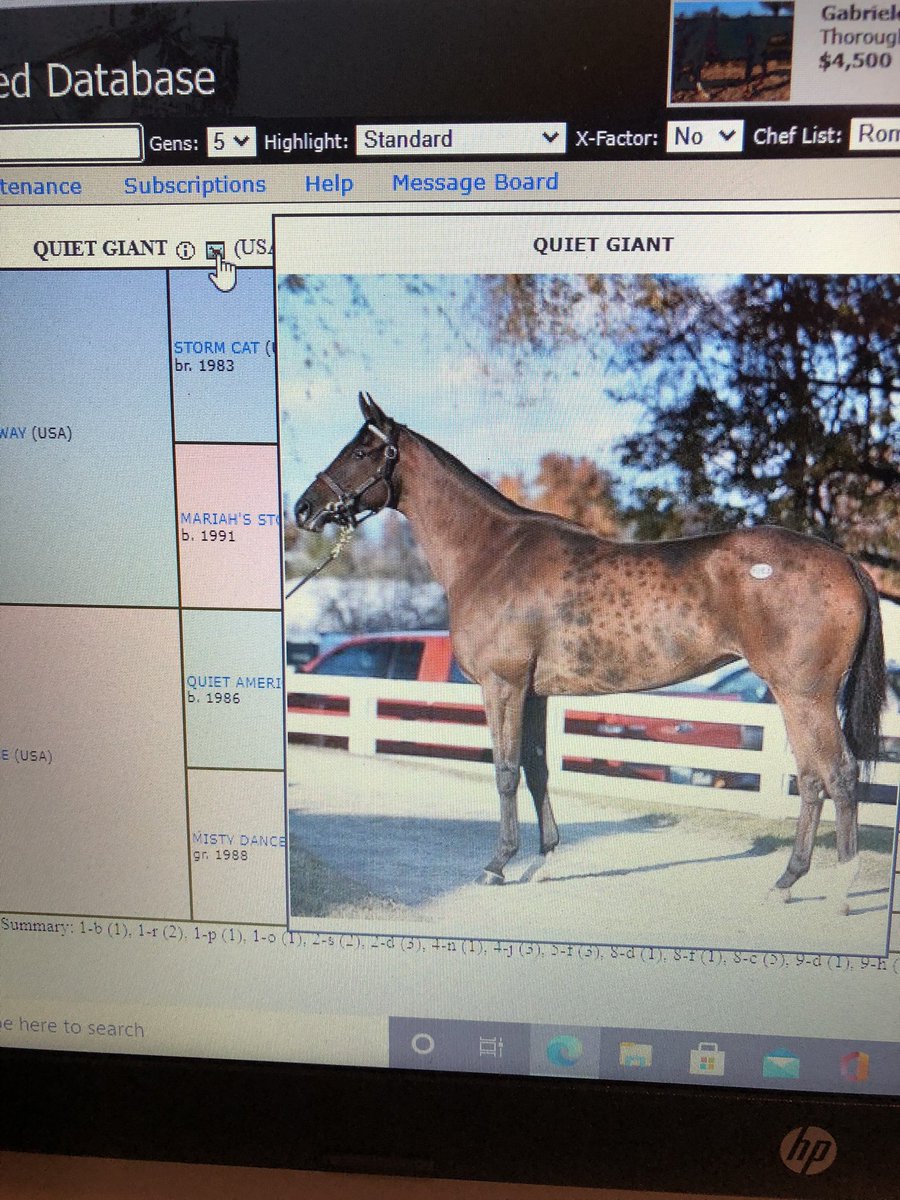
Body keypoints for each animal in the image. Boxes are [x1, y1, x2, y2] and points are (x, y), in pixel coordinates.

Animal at [294, 393, 886, 909]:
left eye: (362, 451)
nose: (304, 508)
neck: (491, 553)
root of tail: (845, 561)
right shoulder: (534, 691)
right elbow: (536, 766)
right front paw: (543, 860)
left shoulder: (502, 685)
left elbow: (505, 770)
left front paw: (497, 864)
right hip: (794, 695)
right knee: (811, 779)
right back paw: (787, 880)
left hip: (804, 693)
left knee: (838, 774)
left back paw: (839, 886)